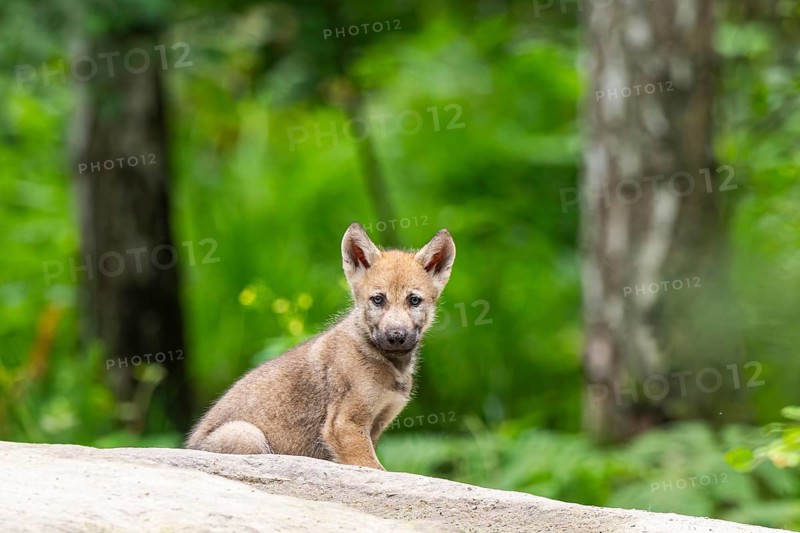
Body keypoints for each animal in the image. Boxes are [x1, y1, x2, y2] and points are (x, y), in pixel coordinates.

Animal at [185, 222, 455, 469]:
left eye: (414, 300)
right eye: (378, 300)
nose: (396, 336)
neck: (390, 365)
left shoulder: (376, 424)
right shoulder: (345, 424)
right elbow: (374, 469)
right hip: (247, 435)